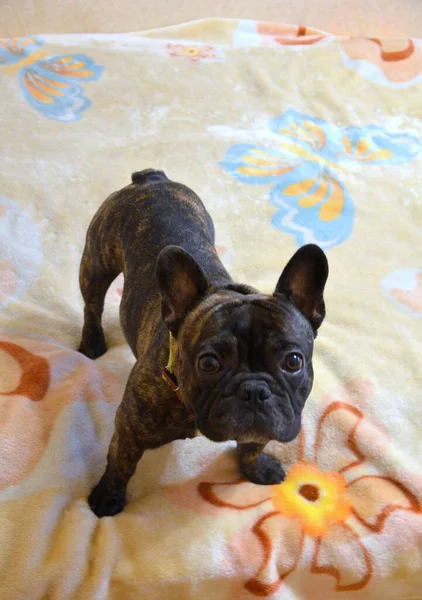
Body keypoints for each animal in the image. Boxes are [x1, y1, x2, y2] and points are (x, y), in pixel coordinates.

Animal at [79, 169, 330, 516]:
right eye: (209, 363)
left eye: (293, 361)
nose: (254, 390)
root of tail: (150, 179)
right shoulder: (130, 428)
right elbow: (121, 464)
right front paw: (107, 498)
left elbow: (252, 445)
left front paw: (256, 469)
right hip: (97, 261)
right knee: (93, 303)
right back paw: (91, 342)